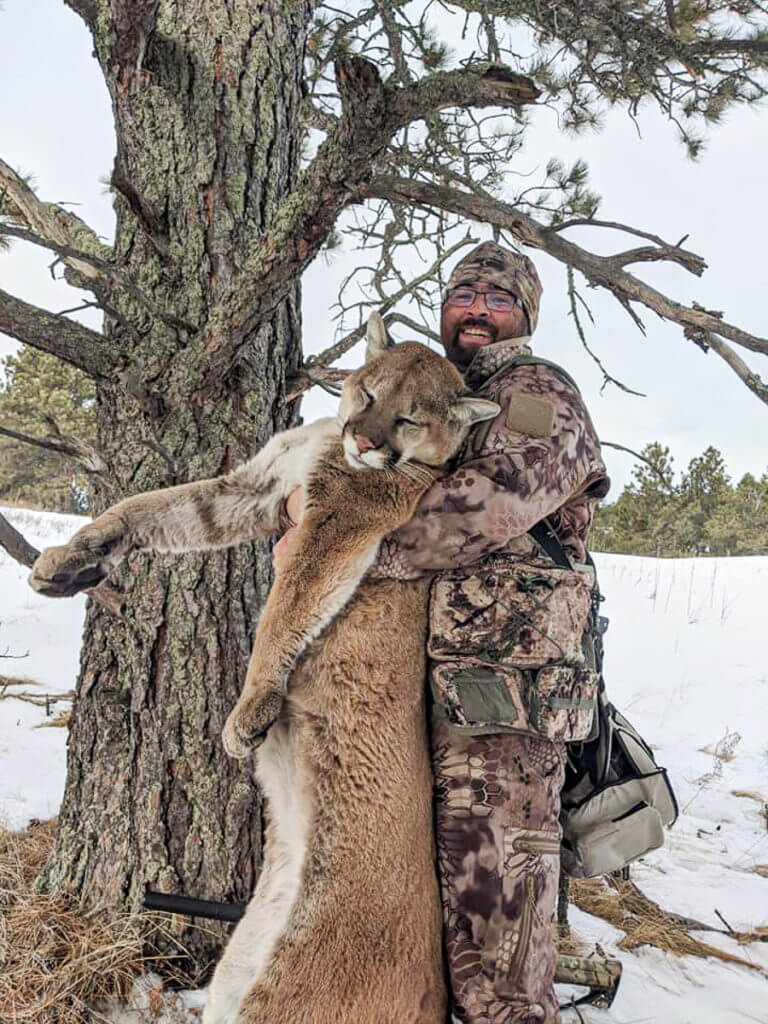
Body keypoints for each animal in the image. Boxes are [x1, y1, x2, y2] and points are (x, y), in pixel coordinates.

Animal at [28, 315, 499, 1024]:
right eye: (369, 393)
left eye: (410, 419)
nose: (365, 439)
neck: (328, 441)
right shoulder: (257, 488)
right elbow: (151, 507)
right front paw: (66, 561)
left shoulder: (335, 520)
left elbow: (284, 610)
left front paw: (247, 714)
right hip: (234, 978)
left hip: (287, 999)